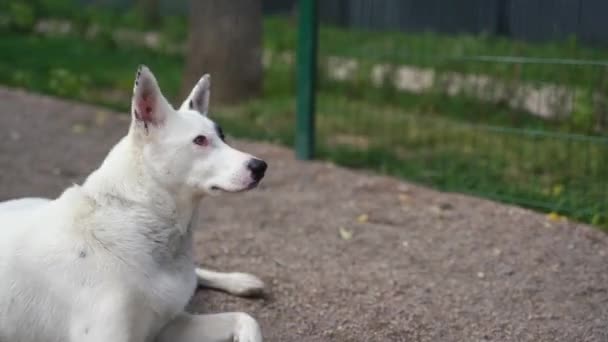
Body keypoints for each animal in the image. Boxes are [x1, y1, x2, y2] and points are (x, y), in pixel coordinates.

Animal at [0, 65, 268, 340]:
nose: (261, 167)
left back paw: (240, 281)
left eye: (222, 136)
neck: (139, 213)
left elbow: (247, 318)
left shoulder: (169, 324)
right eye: (200, 140)